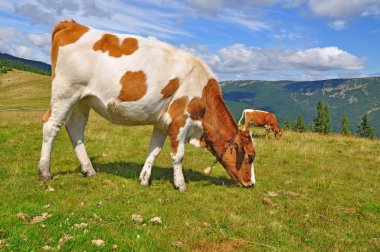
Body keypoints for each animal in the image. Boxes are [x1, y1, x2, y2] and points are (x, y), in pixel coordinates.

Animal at [38, 21, 256, 191]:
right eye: (250, 157)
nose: (251, 183)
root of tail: (73, 24)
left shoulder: (162, 123)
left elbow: (154, 151)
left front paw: (144, 179)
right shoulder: (180, 119)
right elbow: (178, 155)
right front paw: (180, 185)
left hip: (82, 99)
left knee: (75, 128)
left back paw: (89, 170)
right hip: (65, 92)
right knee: (51, 126)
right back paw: (44, 171)